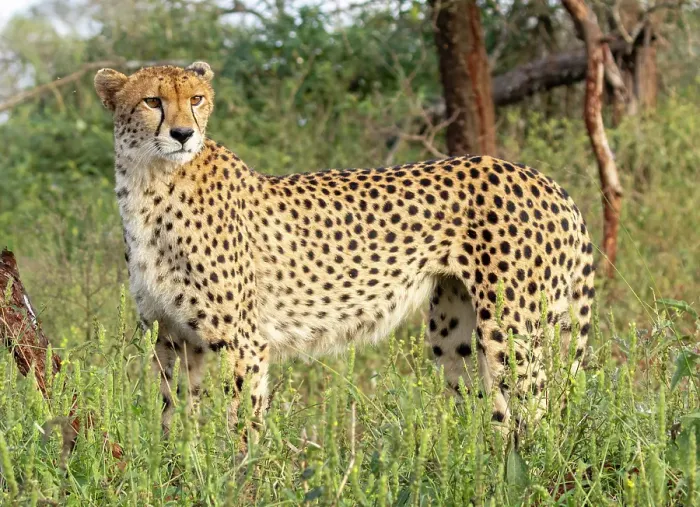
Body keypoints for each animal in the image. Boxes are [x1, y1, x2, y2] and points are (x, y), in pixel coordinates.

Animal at [94, 61, 595, 435]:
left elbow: (242, 426)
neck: (150, 182)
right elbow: (175, 418)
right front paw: (180, 474)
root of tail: (545, 179)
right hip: (455, 331)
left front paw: (241, 480)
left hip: (513, 327)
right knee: (492, 409)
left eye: (196, 99)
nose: (183, 134)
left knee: (538, 412)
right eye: (153, 101)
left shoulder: (242, 341)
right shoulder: (173, 336)